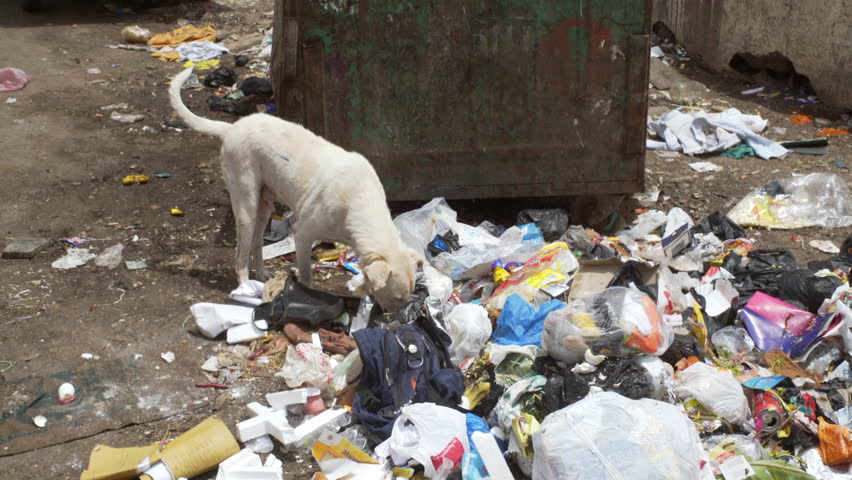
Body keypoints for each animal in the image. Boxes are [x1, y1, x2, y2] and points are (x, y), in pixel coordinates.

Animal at [168, 66, 422, 312]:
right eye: (397, 297)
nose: (398, 318)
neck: (360, 203)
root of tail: (232, 128)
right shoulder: (303, 234)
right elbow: (307, 276)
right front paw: (307, 297)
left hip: (264, 206)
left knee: (257, 243)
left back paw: (261, 275)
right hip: (245, 204)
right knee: (240, 253)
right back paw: (244, 288)